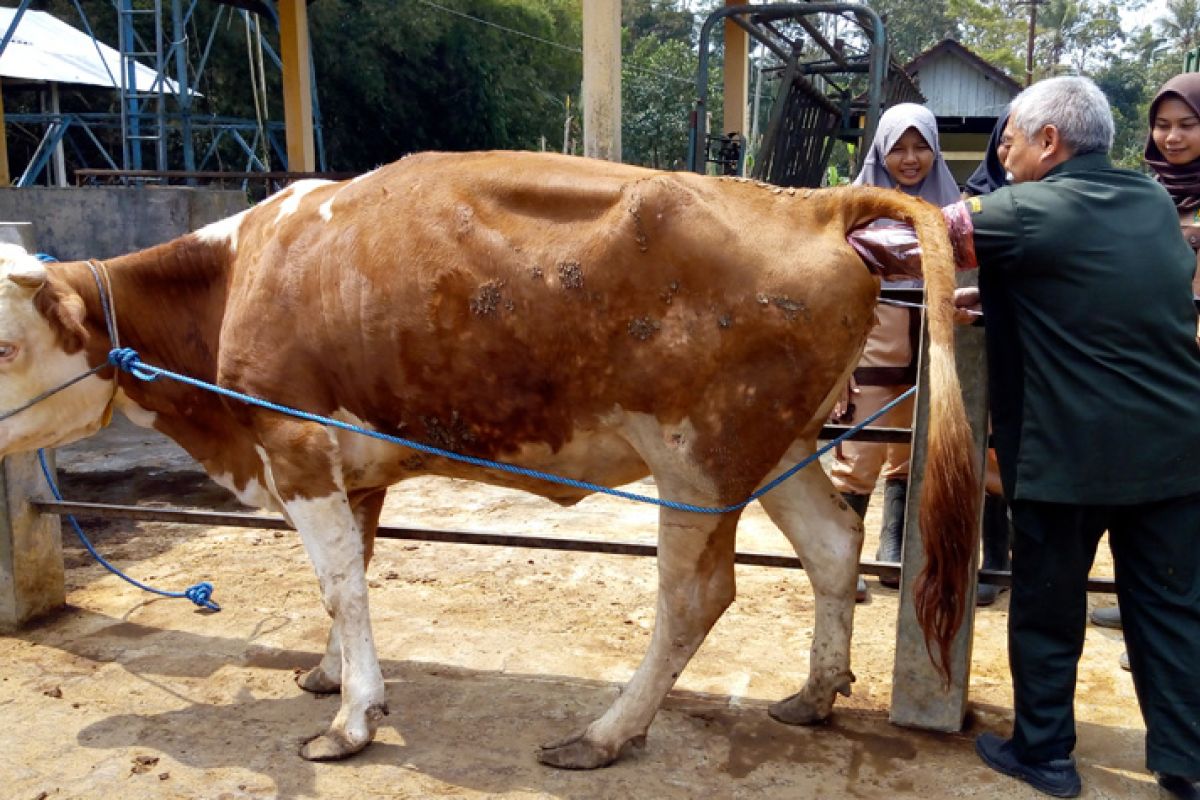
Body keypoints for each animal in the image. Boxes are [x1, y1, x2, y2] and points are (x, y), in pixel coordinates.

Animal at [0, 149, 974, 767]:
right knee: (832, 547)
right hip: (782, 445)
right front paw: (329, 676)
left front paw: (352, 722)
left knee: (696, 597)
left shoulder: (295, 446)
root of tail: (809, 201)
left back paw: (605, 735)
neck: (238, 274)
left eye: (6, 344)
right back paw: (815, 694)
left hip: (700, 462)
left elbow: (340, 585)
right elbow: (354, 575)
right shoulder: (348, 467)